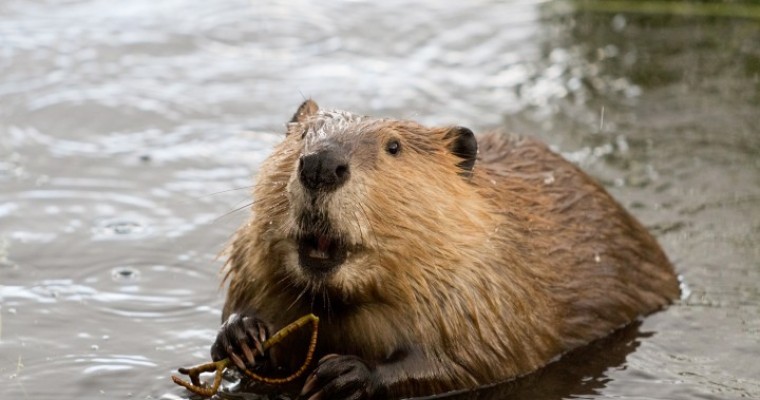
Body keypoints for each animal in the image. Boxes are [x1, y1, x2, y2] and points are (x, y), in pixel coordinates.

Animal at [211, 100, 680, 400]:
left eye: (394, 146)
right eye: (306, 134)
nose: (322, 164)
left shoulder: (486, 289)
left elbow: (474, 360)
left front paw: (343, 374)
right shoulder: (251, 265)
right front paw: (241, 335)